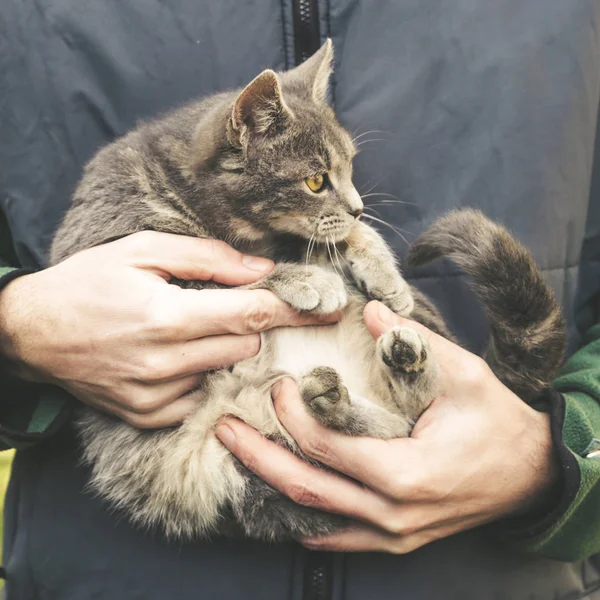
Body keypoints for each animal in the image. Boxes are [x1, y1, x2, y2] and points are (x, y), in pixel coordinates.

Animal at [50, 39, 564, 540]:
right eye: (316, 180)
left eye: (351, 168)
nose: (358, 207)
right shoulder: (107, 259)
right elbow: (229, 274)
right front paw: (306, 278)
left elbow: (325, 241)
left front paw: (381, 269)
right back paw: (343, 395)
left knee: (406, 425)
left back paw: (396, 369)